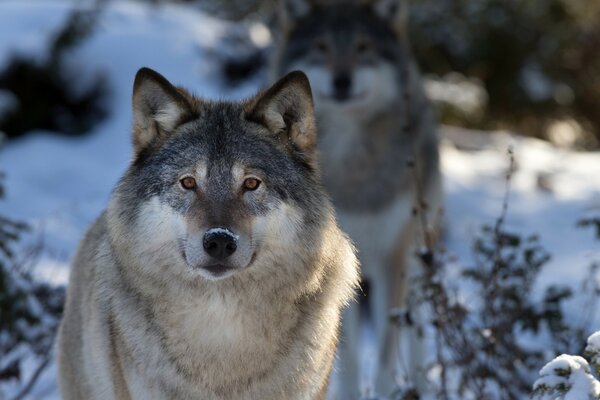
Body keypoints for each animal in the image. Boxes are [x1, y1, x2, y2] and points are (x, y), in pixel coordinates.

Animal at [270, 0, 442, 396]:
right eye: (321, 47)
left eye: (363, 47)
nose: (342, 81)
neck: (354, 167)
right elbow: (344, 351)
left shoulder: (394, 257)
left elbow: (386, 348)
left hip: (417, 253)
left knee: (417, 326)